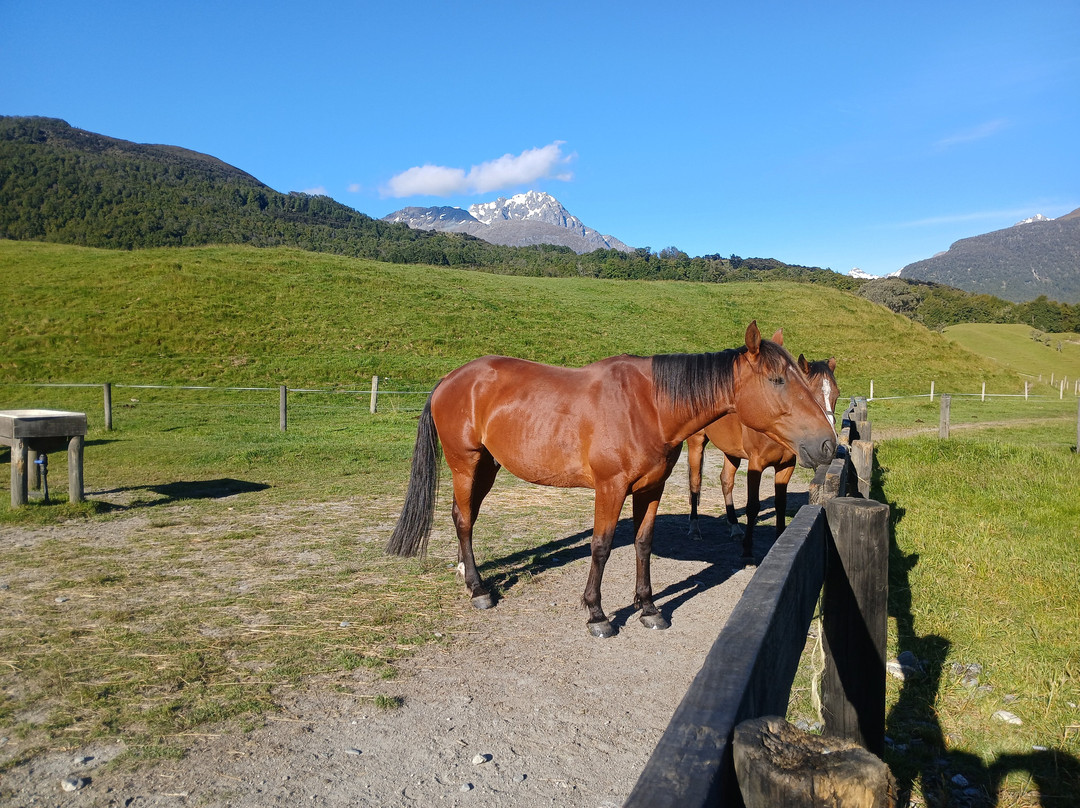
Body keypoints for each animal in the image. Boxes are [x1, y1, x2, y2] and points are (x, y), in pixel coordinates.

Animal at [686, 337, 838, 562]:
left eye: (837, 394)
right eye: (808, 391)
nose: (827, 444)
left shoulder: (785, 466)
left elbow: (780, 503)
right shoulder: (756, 464)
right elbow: (752, 506)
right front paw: (747, 550)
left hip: (731, 452)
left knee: (726, 481)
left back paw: (734, 527)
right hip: (696, 442)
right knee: (695, 482)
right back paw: (695, 528)